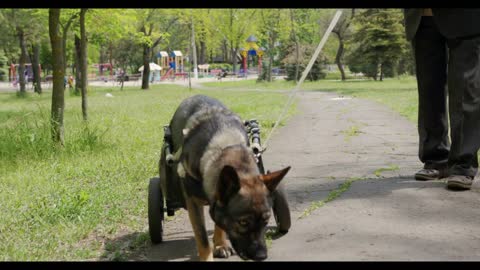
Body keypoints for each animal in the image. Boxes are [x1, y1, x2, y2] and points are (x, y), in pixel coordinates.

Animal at [167, 95, 290, 262]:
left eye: (266, 220)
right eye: (243, 222)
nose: (262, 256)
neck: (225, 145)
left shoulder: (217, 196)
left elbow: (219, 224)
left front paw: (220, 244)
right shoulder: (193, 203)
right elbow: (202, 237)